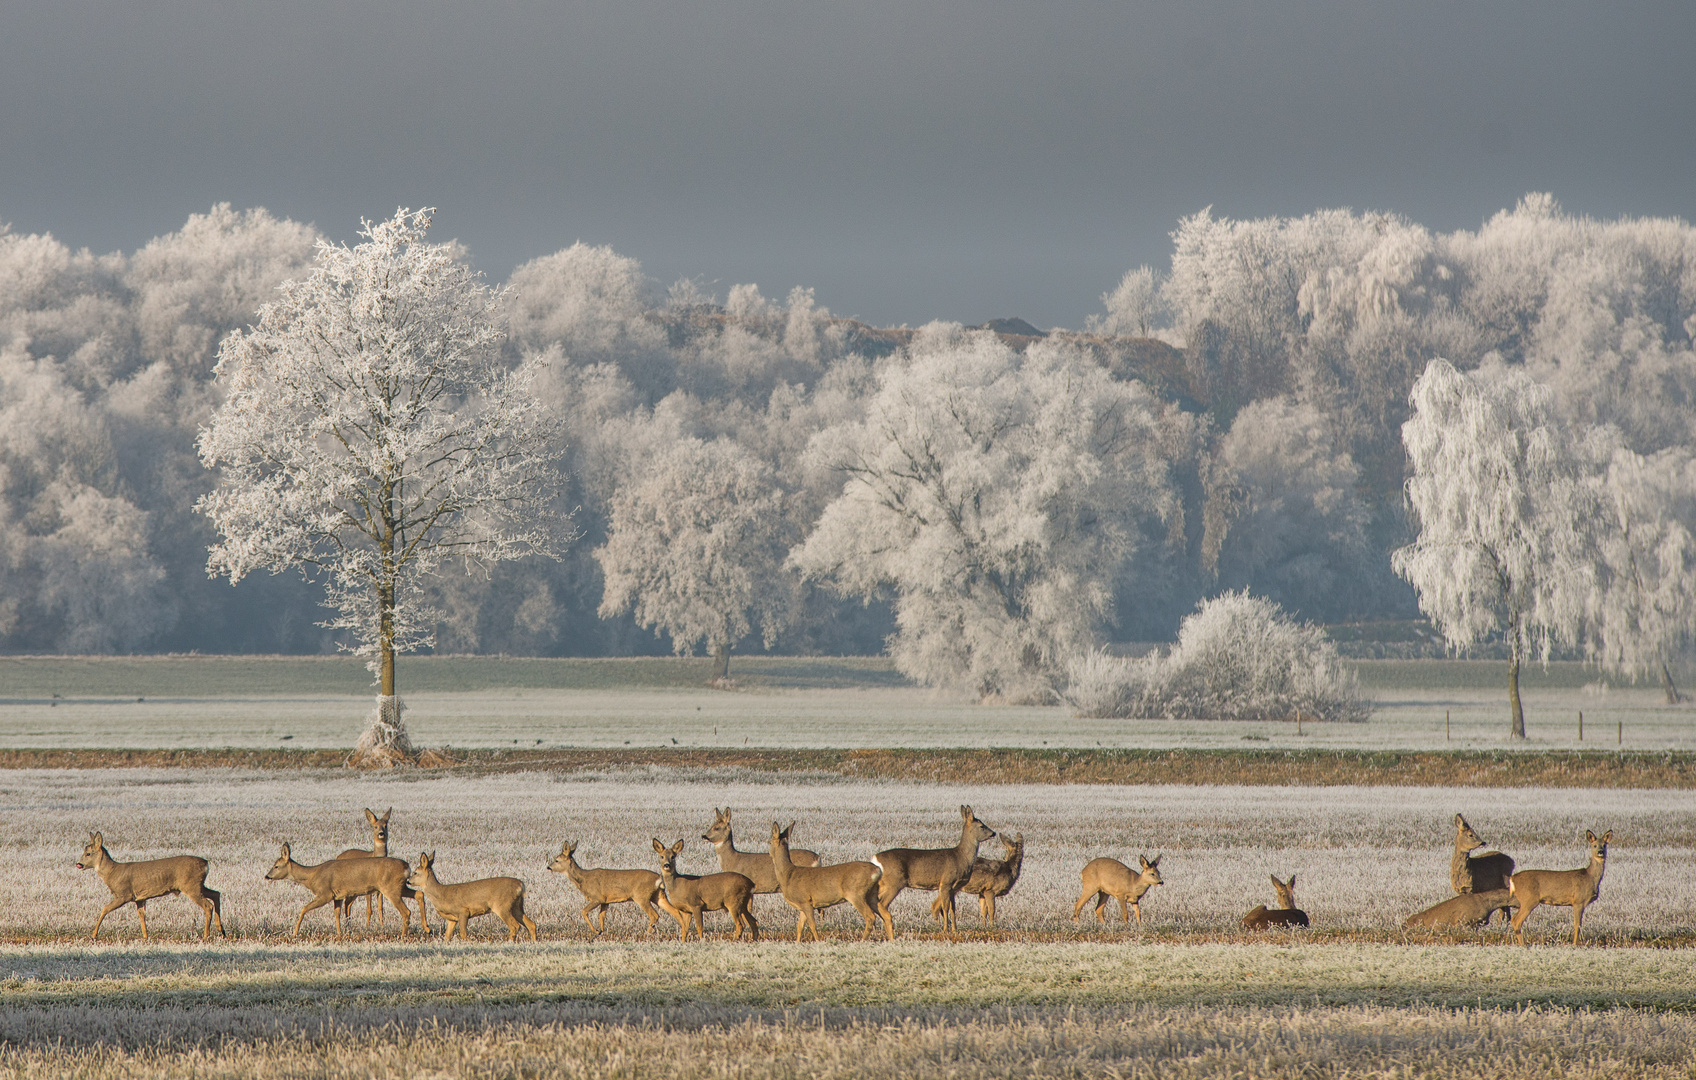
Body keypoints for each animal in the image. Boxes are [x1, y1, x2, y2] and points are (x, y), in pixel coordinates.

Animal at [77, 830, 223, 942]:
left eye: (88, 853)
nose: (79, 864)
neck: (112, 872)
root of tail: (206, 863)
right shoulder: (139, 898)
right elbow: (141, 915)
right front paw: (145, 937)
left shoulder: (124, 894)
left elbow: (105, 909)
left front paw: (93, 935)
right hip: (198, 885)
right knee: (216, 894)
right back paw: (221, 931)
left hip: (191, 886)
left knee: (208, 905)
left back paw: (206, 936)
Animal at [264, 840, 413, 935]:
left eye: (276, 866)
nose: (267, 876)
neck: (312, 875)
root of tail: (406, 866)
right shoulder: (337, 896)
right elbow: (337, 913)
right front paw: (340, 934)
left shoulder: (325, 893)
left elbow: (304, 908)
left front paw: (295, 933)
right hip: (401, 886)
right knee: (416, 896)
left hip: (391, 888)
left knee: (406, 911)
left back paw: (403, 936)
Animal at [549, 837, 681, 929]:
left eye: (557, 860)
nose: (548, 867)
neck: (583, 880)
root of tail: (659, 878)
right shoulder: (605, 901)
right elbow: (601, 917)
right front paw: (601, 932)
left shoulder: (597, 897)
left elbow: (583, 911)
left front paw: (595, 931)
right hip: (658, 895)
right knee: (675, 911)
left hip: (641, 896)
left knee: (654, 915)